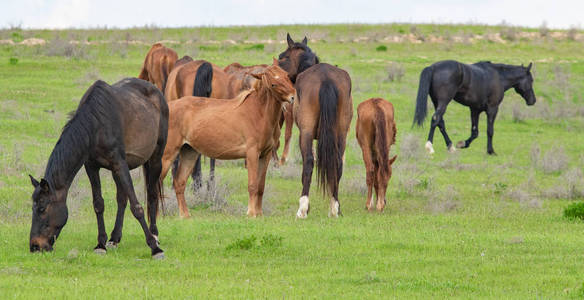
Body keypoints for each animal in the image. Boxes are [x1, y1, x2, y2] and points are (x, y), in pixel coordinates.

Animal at [28, 78, 168, 258]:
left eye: (42, 208)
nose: (35, 246)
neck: (95, 124)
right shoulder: (92, 166)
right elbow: (99, 204)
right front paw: (101, 244)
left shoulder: (119, 163)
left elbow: (136, 207)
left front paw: (154, 248)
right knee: (121, 199)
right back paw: (115, 238)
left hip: (155, 159)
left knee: (152, 195)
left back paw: (155, 235)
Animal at [159, 59, 296, 218]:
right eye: (273, 84)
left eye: (286, 76)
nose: (293, 97)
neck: (259, 113)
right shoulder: (252, 154)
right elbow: (253, 185)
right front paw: (251, 213)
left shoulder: (266, 155)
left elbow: (261, 186)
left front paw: (259, 213)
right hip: (167, 155)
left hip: (189, 153)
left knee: (179, 182)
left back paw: (185, 215)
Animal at [278, 33, 352, 218]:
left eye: (282, 57)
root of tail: (325, 78)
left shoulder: (307, 134)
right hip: (341, 133)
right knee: (338, 163)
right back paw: (335, 207)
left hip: (305, 133)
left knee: (308, 163)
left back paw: (302, 209)